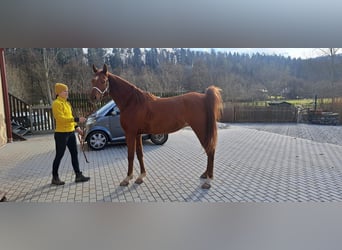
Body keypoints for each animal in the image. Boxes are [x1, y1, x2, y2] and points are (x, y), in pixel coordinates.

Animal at [90, 63, 222, 188]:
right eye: (92, 80)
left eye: (103, 80)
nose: (93, 97)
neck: (132, 102)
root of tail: (204, 97)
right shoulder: (137, 134)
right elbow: (140, 154)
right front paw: (141, 176)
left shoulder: (130, 134)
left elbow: (130, 155)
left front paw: (127, 178)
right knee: (209, 150)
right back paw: (205, 175)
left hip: (201, 130)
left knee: (210, 150)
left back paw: (208, 180)